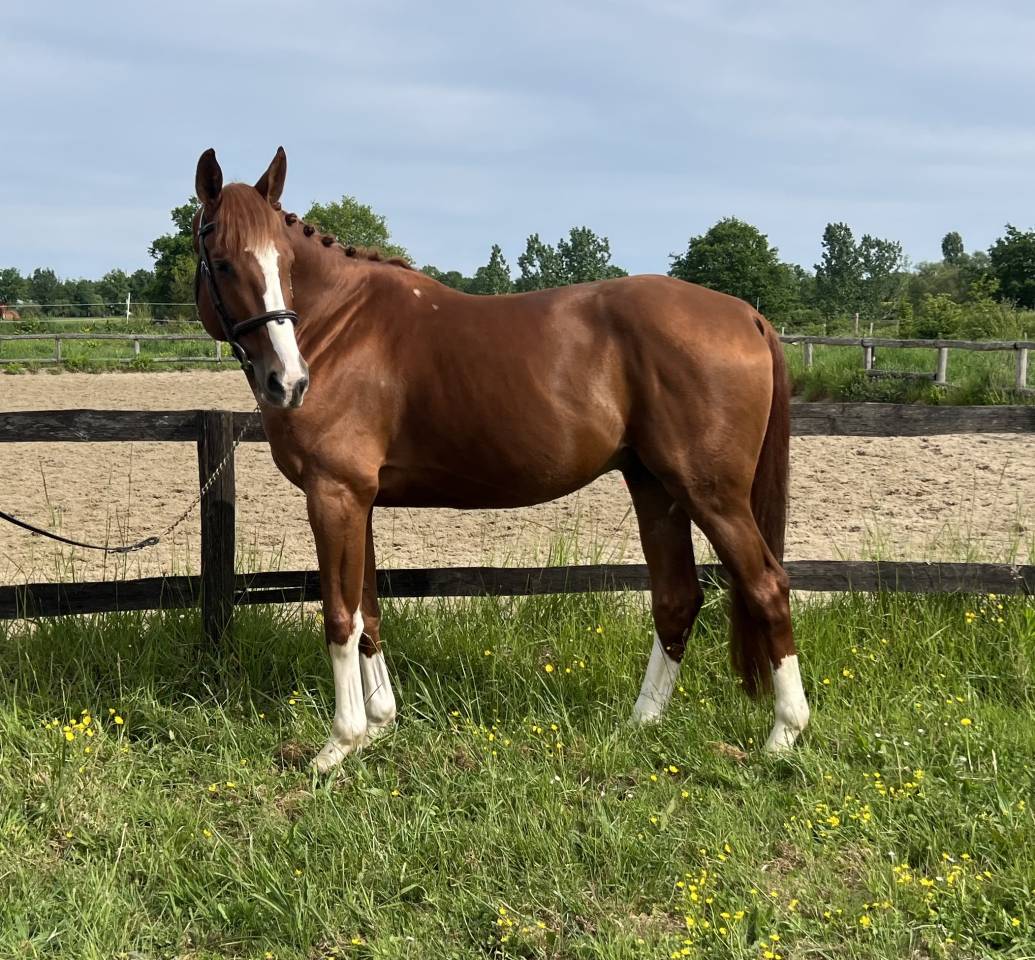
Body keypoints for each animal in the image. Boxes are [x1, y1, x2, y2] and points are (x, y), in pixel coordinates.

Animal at [192, 147, 810, 772]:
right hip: (656, 487)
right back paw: (641, 724)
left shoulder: (334, 495)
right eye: (222, 263)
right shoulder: (355, 500)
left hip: (712, 495)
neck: (340, 328)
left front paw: (338, 745)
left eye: (285, 262)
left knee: (766, 586)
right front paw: (379, 724)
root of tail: (747, 315)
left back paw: (784, 734)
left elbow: (341, 617)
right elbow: (368, 613)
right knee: (677, 597)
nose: (288, 382)